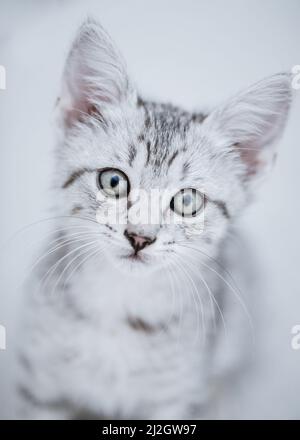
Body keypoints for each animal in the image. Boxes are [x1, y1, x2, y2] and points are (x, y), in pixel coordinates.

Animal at [17, 18, 292, 420]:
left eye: (188, 201)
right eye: (113, 181)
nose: (139, 237)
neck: (120, 306)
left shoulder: (172, 400)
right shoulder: (41, 382)